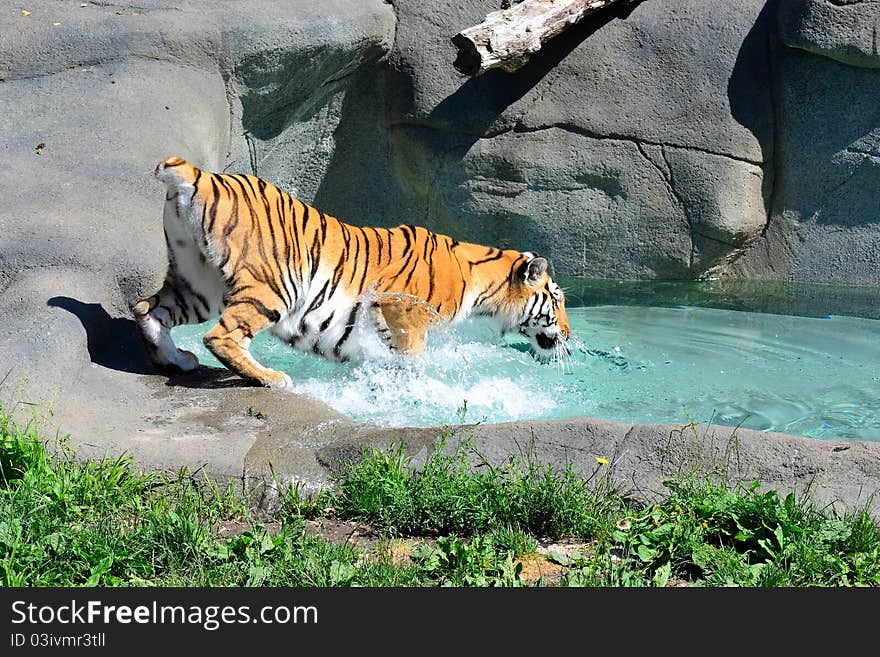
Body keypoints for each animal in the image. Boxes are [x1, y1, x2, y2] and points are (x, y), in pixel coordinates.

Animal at [131, 156, 572, 386]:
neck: (482, 289)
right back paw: (270, 377)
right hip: (273, 286)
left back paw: (174, 360)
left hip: (198, 283)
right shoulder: (403, 309)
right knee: (219, 336)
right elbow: (413, 356)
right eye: (556, 300)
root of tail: (201, 173)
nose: (569, 335)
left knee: (147, 308)